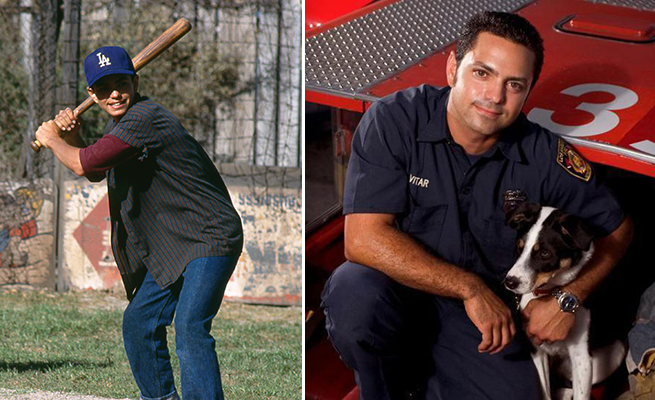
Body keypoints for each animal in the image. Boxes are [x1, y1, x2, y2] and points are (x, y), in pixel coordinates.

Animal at [502, 203, 624, 400]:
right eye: (519, 247)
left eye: (544, 253)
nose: (510, 282)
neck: (548, 292)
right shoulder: (536, 349)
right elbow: (545, 392)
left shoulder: (582, 356)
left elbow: (581, 394)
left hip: (613, 353)